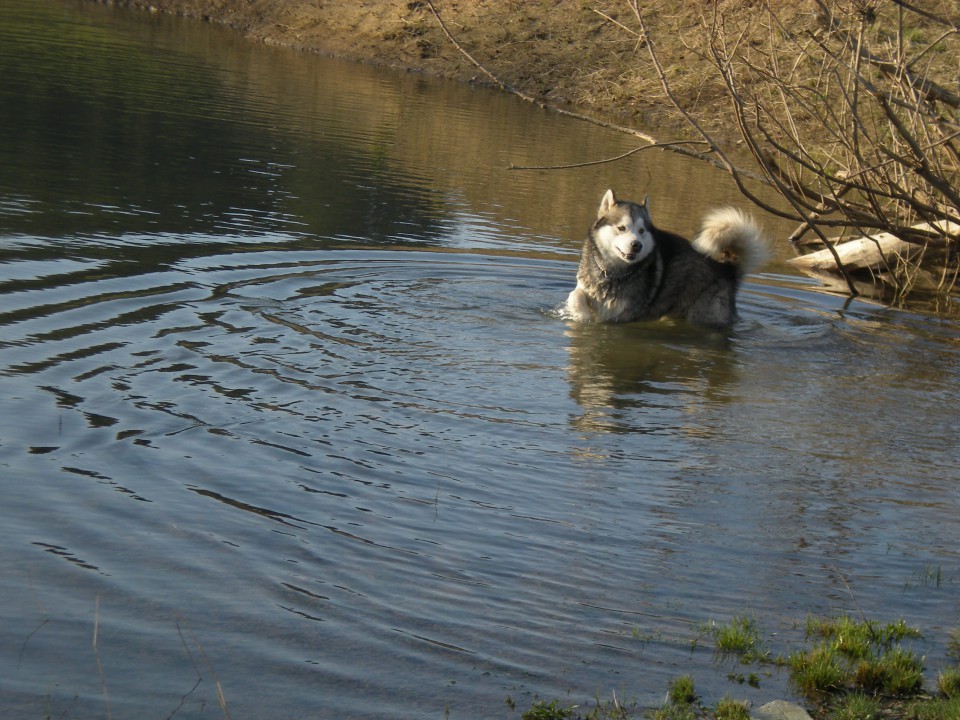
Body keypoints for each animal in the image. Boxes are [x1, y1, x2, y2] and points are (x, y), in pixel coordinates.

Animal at [568, 190, 768, 328]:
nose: (636, 245)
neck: (611, 272)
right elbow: (576, 295)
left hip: (704, 314)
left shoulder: (620, 316)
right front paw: (581, 315)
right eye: (622, 228)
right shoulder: (586, 288)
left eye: (642, 231)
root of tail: (726, 268)